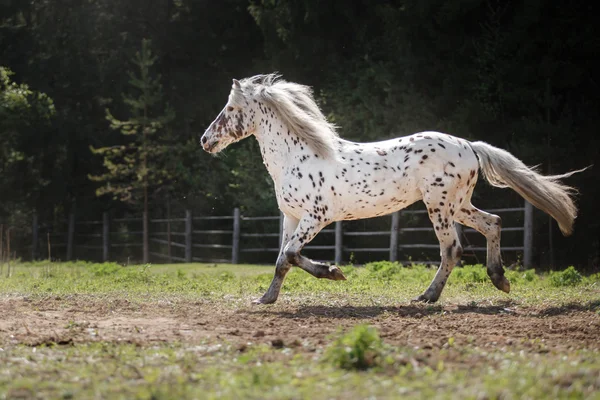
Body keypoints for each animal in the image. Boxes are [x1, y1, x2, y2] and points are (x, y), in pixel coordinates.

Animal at [200, 74, 580, 304]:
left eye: (230, 108)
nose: (205, 140)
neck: (298, 155)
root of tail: (470, 146)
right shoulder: (291, 217)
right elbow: (282, 260)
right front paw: (267, 299)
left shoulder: (317, 216)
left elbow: (291, 255)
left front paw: (334, 273)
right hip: (457, 205)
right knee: (493, 222)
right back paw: (499, 279)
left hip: (439, 207)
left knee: (452, 249)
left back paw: (427, 297)